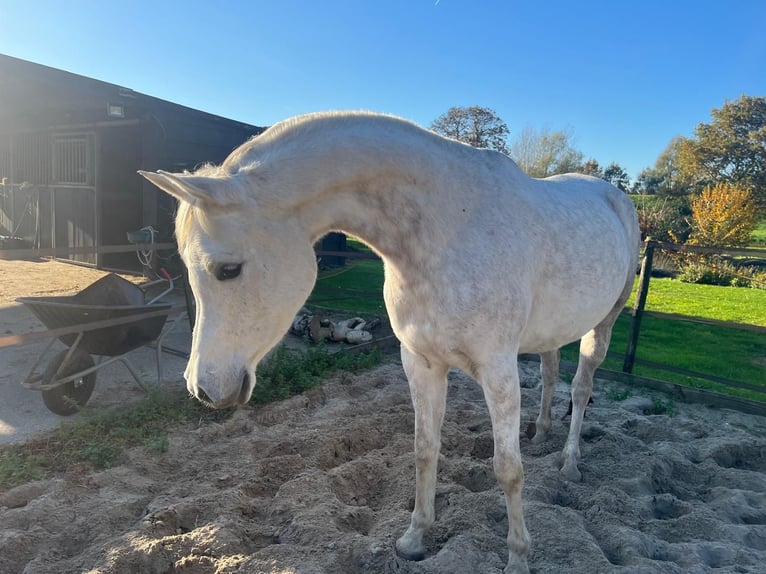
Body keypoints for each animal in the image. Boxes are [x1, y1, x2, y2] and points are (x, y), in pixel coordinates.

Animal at [140, 110, 640, 574]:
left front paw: (518, 557)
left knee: (581, 387)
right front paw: (414, 538)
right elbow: (424, 449)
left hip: (605, 321)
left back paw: (570, 461)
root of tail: (616, 197)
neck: (446, 228)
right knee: (553, 370)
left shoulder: (498, 369)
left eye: (228, 270)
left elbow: (507, 469)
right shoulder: (420, 361)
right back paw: (541, 433)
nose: (204, 389)